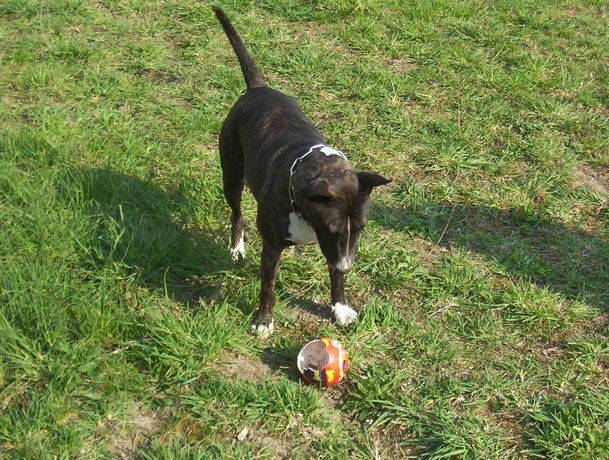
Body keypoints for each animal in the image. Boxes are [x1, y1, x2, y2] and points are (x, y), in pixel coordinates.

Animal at [213, 7, 390, 338]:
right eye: (332, 229)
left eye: (362, 227)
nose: (348, 266)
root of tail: (258, 88)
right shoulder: (274, 246)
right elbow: (268, 286)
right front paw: (263, 321)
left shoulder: (336, 248)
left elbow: (335, 279)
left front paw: (340, 308)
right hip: (231, 173)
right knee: (236, 211)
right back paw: (237, 248)